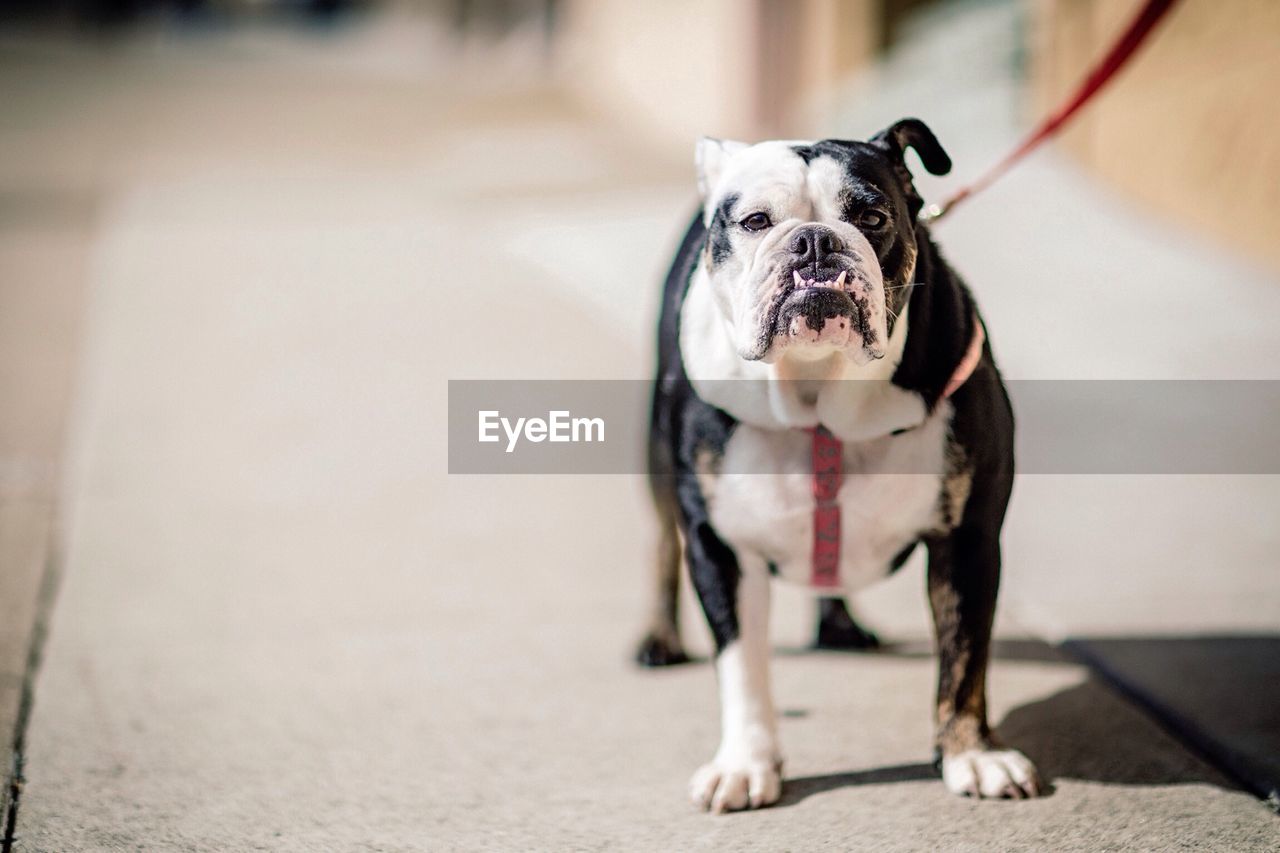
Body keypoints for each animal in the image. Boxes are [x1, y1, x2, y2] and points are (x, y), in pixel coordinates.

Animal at [645, 117, 1044, 804]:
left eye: (873, 217)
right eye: (755, 221)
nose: (814, 242)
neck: (818, 391)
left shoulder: (967, 539)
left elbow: (965, 656)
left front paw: (972, 755)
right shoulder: (720, 546)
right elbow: (741, 665)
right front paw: (746, 763)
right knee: (662, 539)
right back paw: (659, 639)